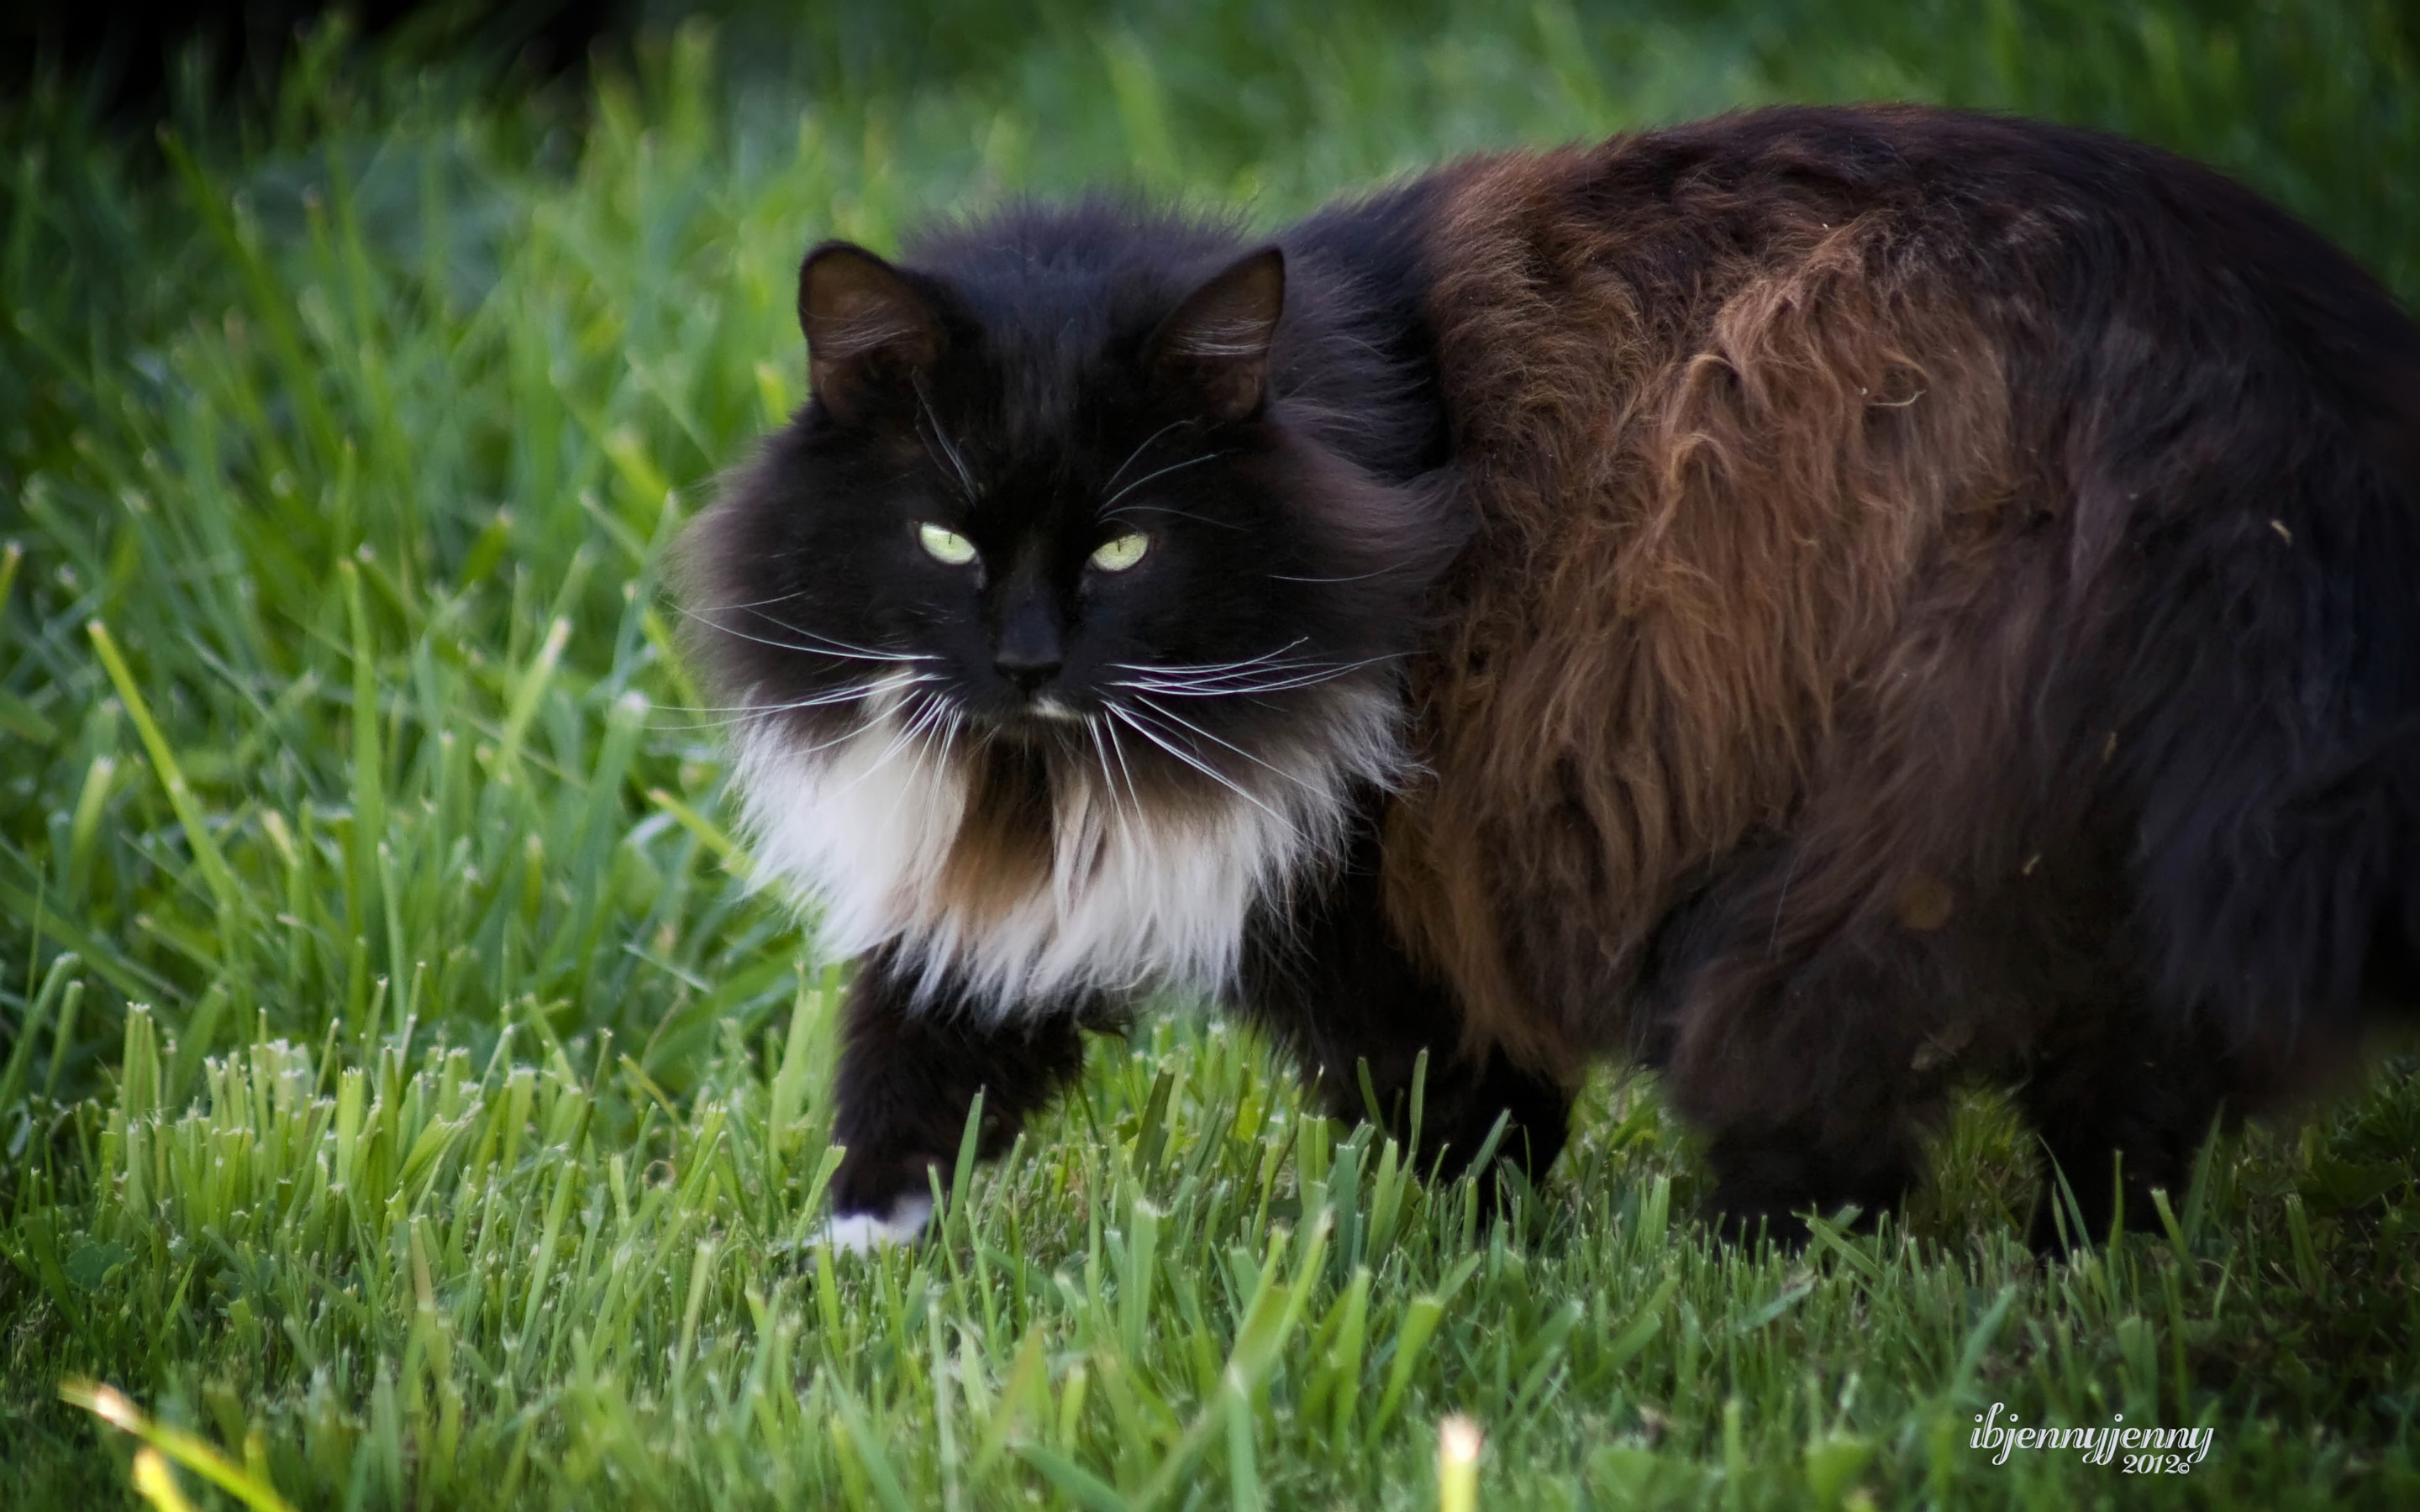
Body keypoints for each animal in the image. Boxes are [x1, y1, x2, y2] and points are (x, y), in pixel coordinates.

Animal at [682, 103, 2420, 1238]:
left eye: (1122, 550)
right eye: (943, 540)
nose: (1031, 659)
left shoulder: (1363, 902)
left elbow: (1467, 1120)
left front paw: (1471, 1272)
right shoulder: (1023, 908)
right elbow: (911, 1071)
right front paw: (851, 1277)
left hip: (1856, 877)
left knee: (1846, 1126)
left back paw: (1770, 1286)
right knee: (2127, 1106)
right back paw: (2088, 1270)